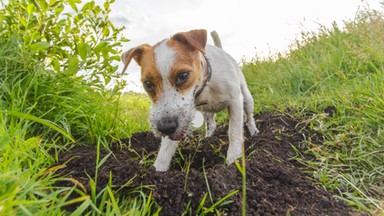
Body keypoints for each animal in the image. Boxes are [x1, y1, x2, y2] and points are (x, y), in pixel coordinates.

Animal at [121, 29, 258, 170]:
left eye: (183, 76)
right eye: (148, 84)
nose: (165, 127)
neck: (205, 84)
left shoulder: (235, 101)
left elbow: (234, 131)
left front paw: (234, 159)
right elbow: (166, 148)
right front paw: (158, 168)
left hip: (247, 99)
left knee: (249, 116)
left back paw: (254, 131)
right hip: (207, 112)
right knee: (211, 125)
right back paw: (208, 138)